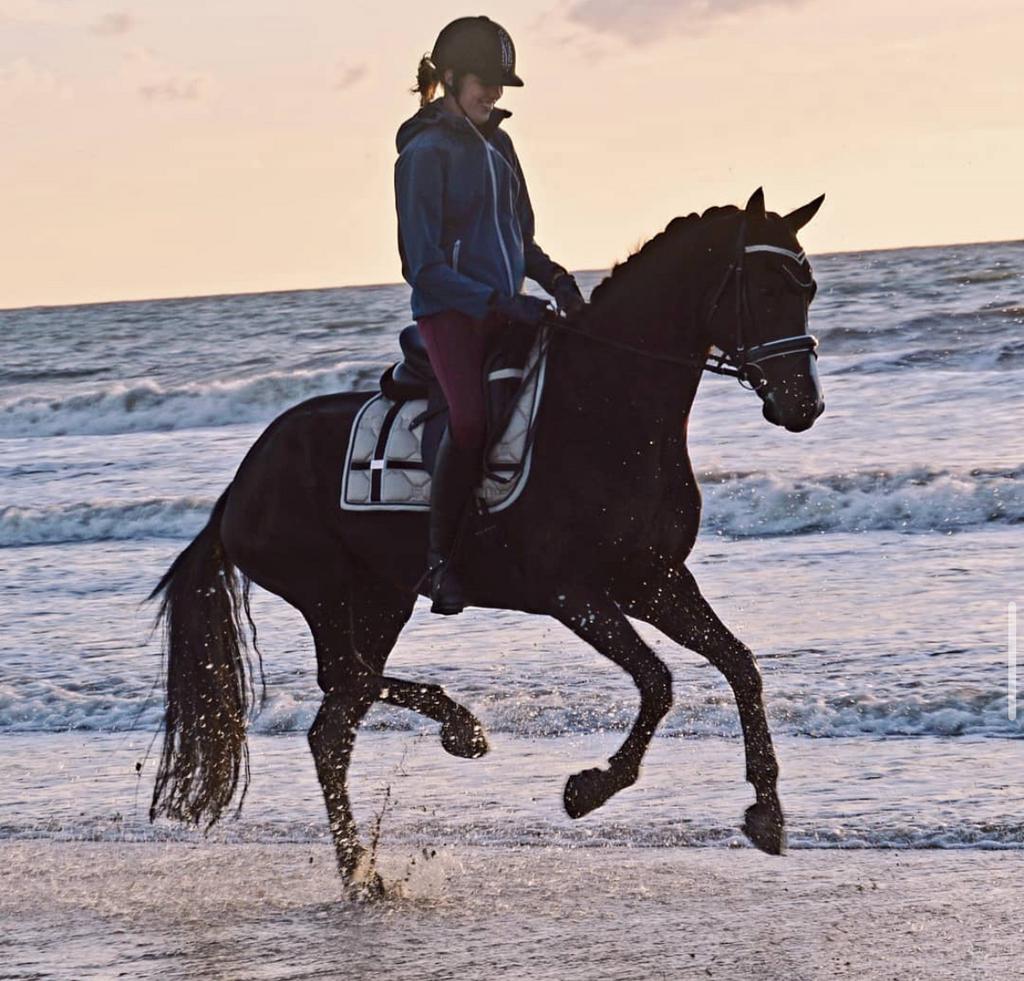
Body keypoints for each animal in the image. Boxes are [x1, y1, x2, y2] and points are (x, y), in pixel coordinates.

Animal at [148, 188, 826, 889]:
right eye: (768, 289)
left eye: (809, 288)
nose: (803, 405)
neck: (609, 410)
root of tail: (240, 483)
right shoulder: (574, 594)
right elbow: (658, 680)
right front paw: (591, 787)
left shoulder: (653, 579)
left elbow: (739, 664)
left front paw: (766, 810)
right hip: (326, 590)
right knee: (349, 681)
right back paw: (459, 732)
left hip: (383, 597)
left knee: (335, 722)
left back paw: (363, 868)